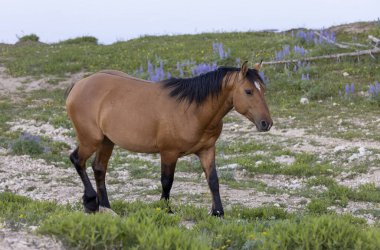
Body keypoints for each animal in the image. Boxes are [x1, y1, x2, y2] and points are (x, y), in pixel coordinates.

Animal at [67, 61, 272, 217]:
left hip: (106, 141)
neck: (192, 110)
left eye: (263, 89)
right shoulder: (169, 153)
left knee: (99, 168)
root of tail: (78, 85)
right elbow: (167, 181)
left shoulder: (207, 150)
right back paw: (91, 202)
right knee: (77, 160)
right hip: (91, 140)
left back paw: (106, 207)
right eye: (248, 91)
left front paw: (218, 212)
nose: (266, 123)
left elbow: (213, 180)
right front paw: (166, 209)